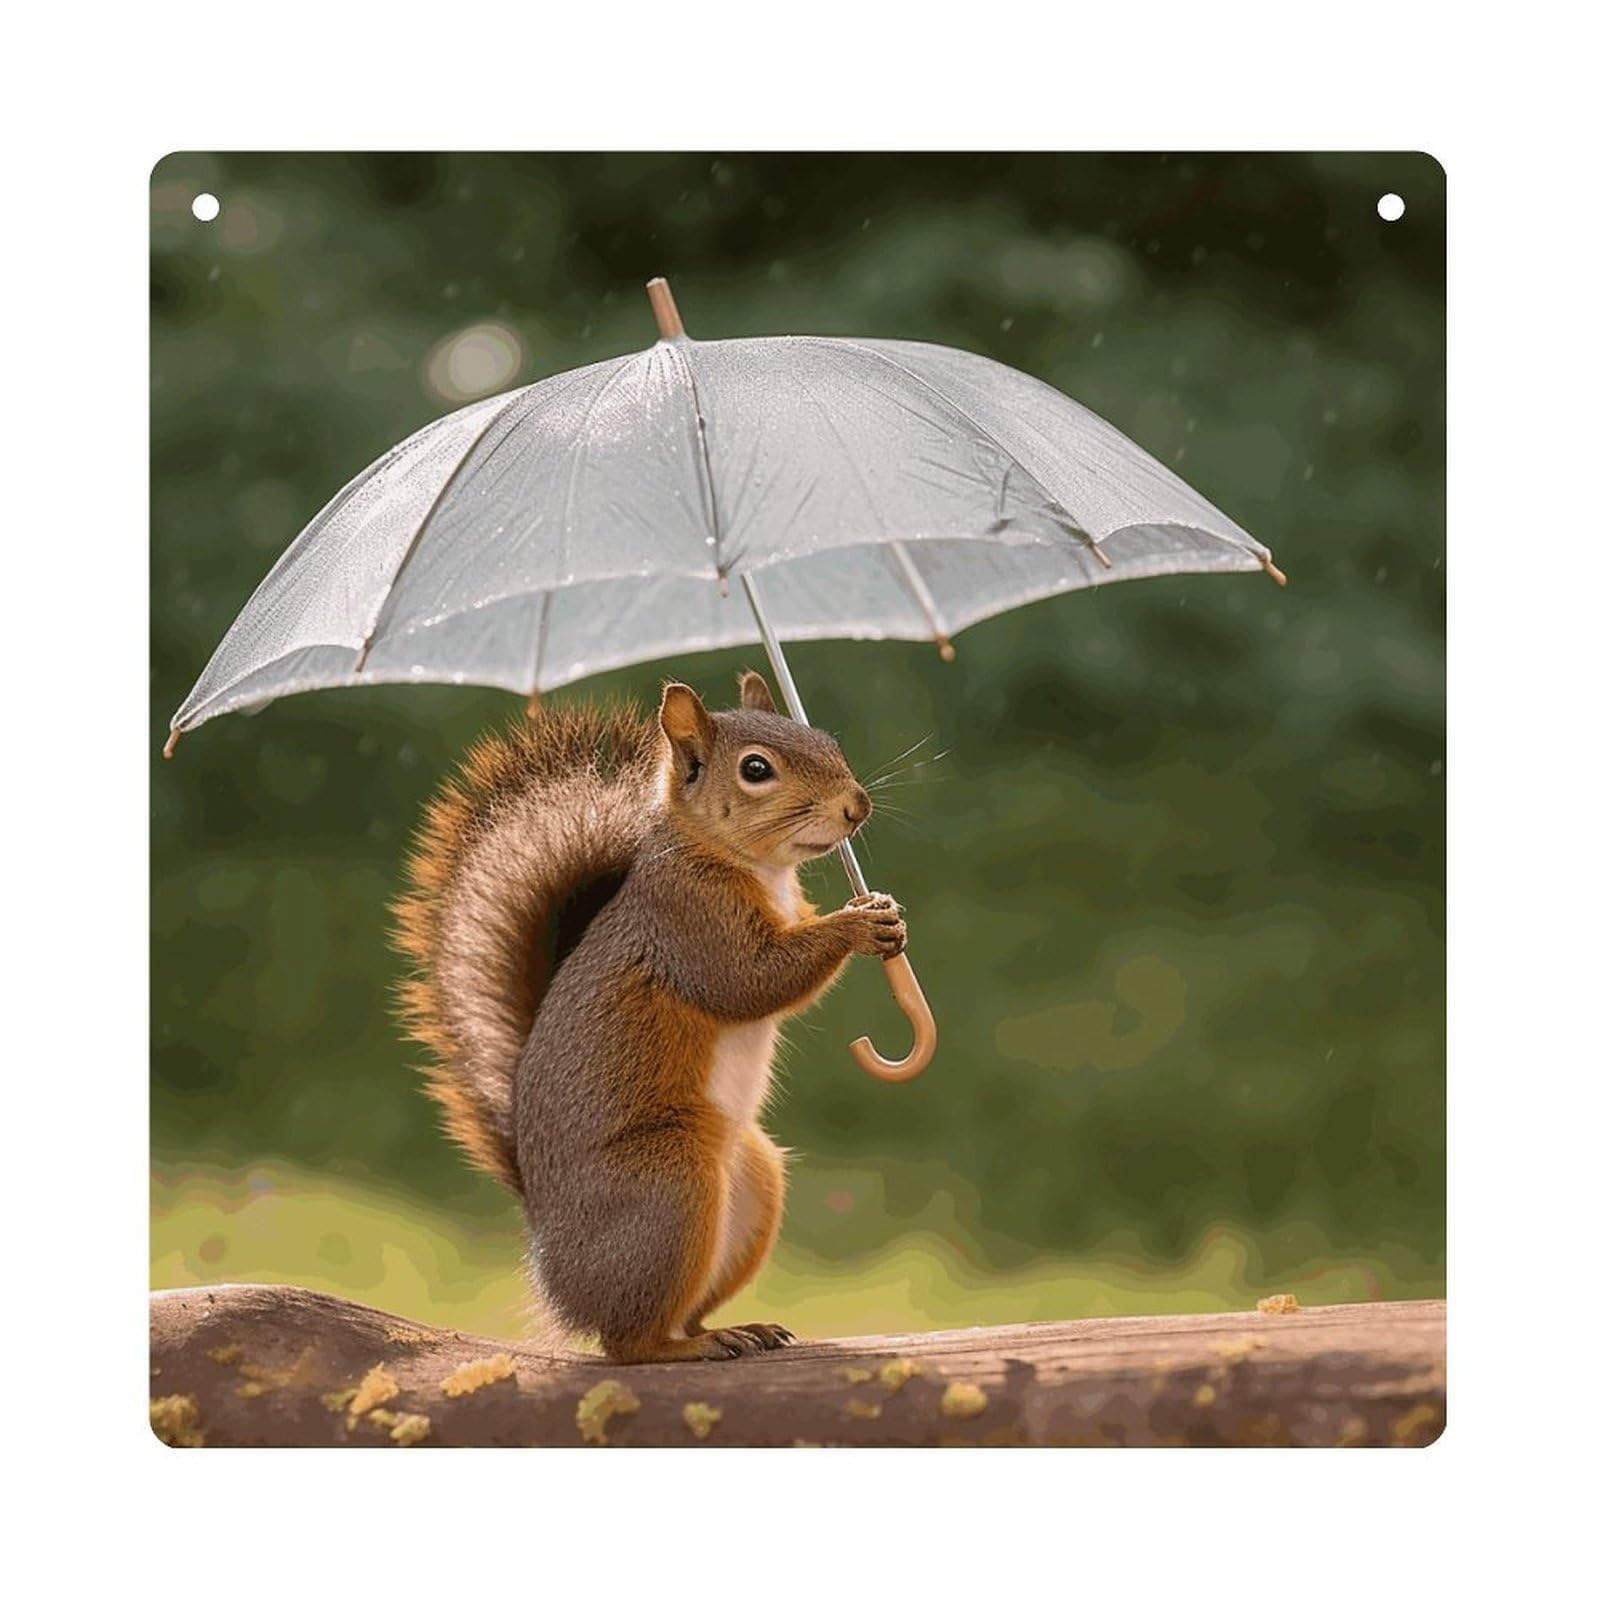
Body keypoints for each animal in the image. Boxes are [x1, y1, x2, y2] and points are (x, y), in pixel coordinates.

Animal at [392, 670, 906, 1363]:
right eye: (756, 769)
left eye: (826, 739)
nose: (856, 807)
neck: (749, 864)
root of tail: (551, 1261)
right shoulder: (688, 922)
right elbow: (753, 980)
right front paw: (856, 925)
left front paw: (886, 911)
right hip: (670, 1182)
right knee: (627, 1342)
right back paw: (681, 1347)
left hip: (752, 1180)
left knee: (685, 1309)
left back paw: (735, 1330)